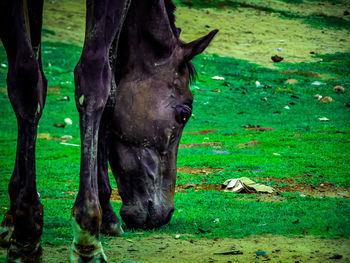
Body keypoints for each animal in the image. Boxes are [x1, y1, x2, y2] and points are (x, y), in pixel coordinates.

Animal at [0, 0, 217, 262]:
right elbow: (98, 81)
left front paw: (18, 225)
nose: (166, 214)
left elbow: (32, 79)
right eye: (184, 114)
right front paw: (87, 234)